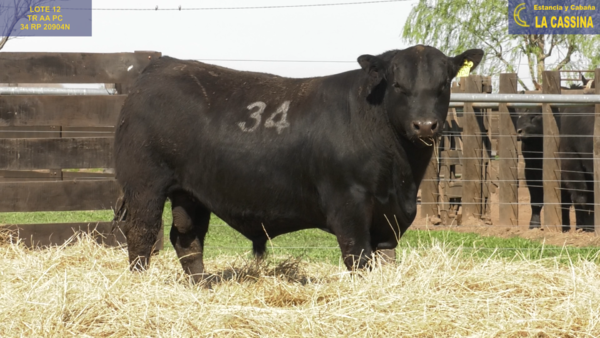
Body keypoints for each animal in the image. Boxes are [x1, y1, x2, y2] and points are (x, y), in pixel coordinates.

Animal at [115, 45, 486, 282]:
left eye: (443, 85)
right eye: (398, 85)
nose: (424, 125)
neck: (401, 174)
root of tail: (160, 67)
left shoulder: (391, 217)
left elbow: (385, 260)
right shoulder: (348, 205)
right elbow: (358, 257)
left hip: (190, 192)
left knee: (186, 238)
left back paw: (201, 284)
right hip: (145, 184)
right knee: (142, 234)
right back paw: (139, 286)